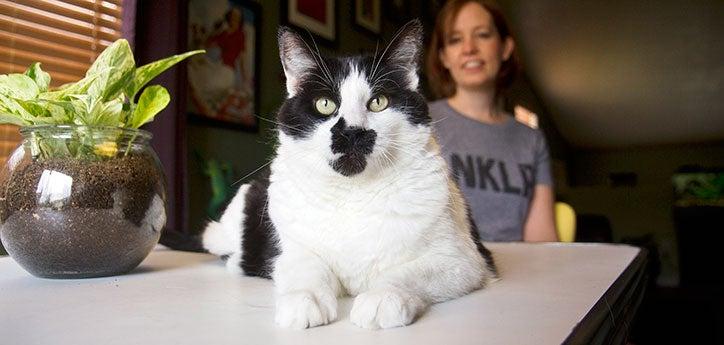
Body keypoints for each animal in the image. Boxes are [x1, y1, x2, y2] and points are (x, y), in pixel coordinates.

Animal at [201, 20, 494, 328]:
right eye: (325, 104)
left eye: (378, 102)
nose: (352, 132)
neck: (354, 194)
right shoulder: (293, 249)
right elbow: (306, 267)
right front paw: (303, 301)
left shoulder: (464, 260)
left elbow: (407, 273)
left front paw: (382, 297)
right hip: (222, 229)